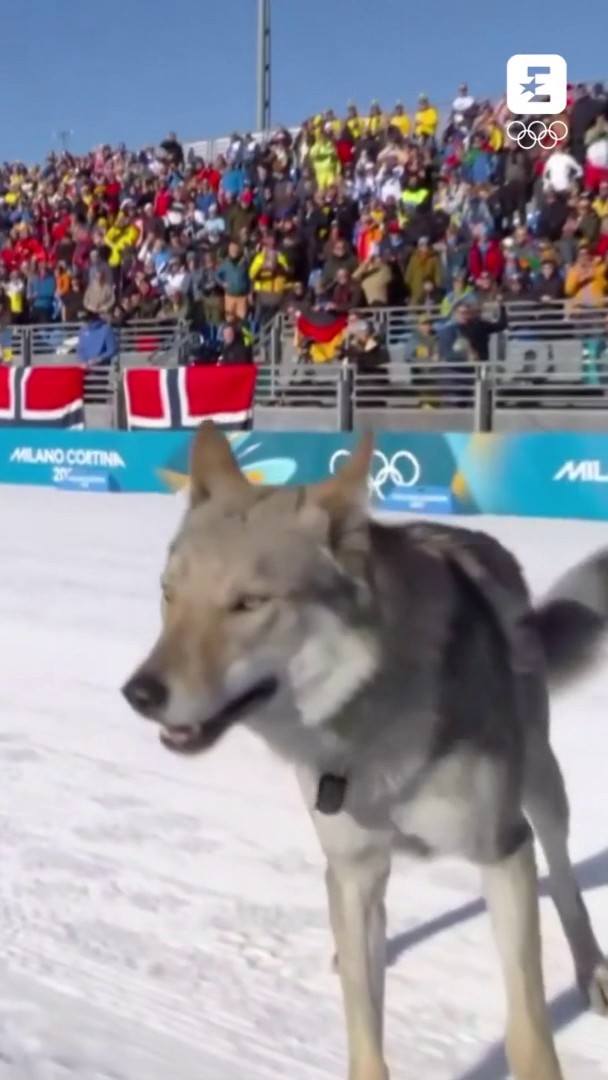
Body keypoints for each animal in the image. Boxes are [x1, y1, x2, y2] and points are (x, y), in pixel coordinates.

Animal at [122, 421, 608, 1080]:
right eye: (170, 595)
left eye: (248, 603)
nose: (139, 694)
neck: (370, 727)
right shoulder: (353, 871)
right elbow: (364, 1025)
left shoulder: (503, 851)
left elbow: (528, 1024)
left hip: (540, 785)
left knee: (562, 877)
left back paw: (593, 971)